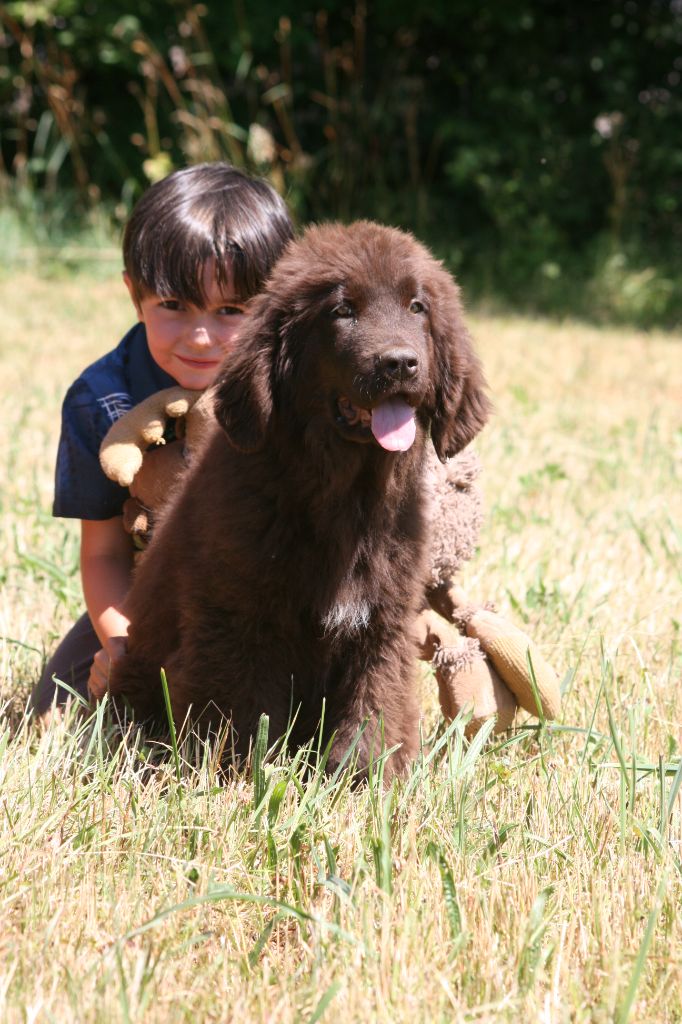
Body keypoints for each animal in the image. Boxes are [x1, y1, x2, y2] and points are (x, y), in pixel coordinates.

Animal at [106, 222, 489, 774]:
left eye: (417, 307)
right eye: (342, 310)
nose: (399, 363)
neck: (346, 496)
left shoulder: (384, 622)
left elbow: (376, 699)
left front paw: (368, 774)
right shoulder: (237, 613)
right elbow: (240, 704)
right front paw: (239, 772)